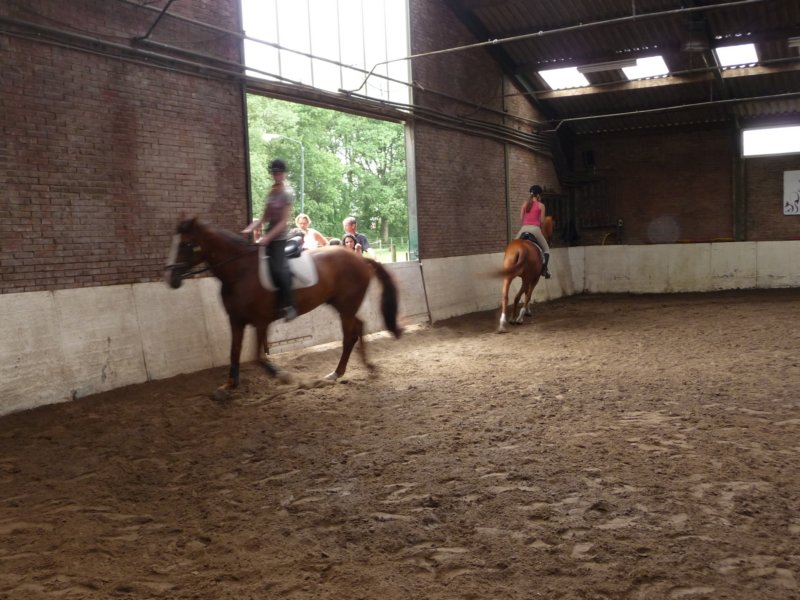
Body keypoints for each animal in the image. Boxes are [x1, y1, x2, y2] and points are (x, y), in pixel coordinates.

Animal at [165, 217, 402, 398]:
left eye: (186, 244)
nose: (171, 279)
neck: (240, 271)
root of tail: (359, 259)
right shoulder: (236, 320)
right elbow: (234, 352)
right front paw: (229, 385)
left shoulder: (260, 321)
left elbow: (259, 356)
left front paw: (282, 375)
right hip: (342, 305)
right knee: (359, 326)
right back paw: (360, 368)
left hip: (346, 306)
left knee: (350, 336)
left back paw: (340, 372)